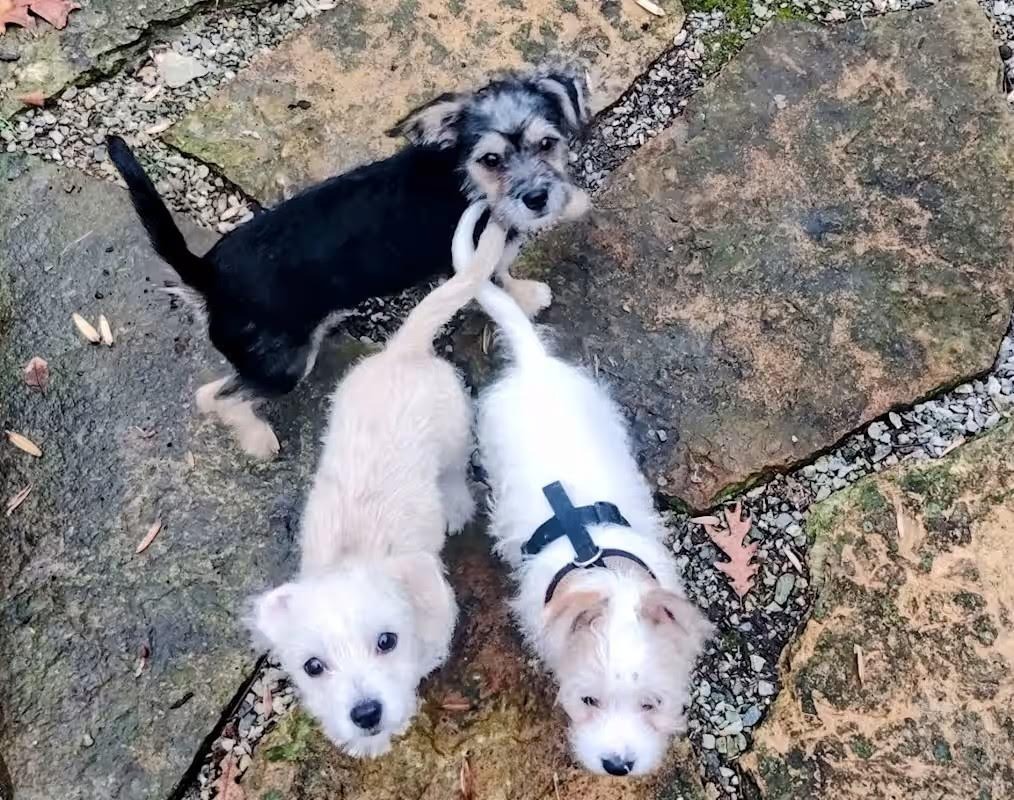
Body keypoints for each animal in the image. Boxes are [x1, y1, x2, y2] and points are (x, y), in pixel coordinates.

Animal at [105, 66, 590, 460]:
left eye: (547, 144)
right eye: (491, 159)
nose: (537, 197)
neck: (461, 175)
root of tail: (206, 276)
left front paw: (572, 201)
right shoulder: (474, 256)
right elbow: (501, 274)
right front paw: (528, 295)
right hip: (283, 365)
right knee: (216, 397)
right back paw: (258, 439)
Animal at [248, 206, 506, 758]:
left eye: (387, 641)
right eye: (313, 667)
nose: (365, 714)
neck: (351, 555)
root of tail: (402, 352)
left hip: (454, 433)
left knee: (453, 470)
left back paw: (456, 505)